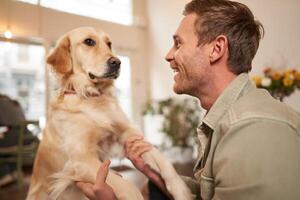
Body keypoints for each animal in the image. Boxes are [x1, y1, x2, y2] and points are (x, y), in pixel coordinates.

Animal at [26, 27, 192, 200]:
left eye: (109, 44)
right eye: (89, 41)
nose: (117, 62)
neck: (92, 97)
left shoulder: (129, 134)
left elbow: (163, 160)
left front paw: (181, 191)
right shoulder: (81, 158)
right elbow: (128, 187)